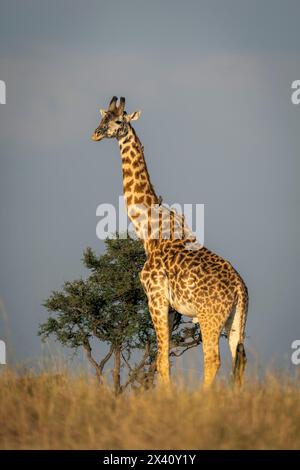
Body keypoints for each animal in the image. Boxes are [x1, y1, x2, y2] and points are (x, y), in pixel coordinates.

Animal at [92, 97, 248, 388]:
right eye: (102, 117)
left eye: (118, 120)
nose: (95, 133)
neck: (148, 230)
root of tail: (239, 288)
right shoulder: (174, 308)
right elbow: (160, 358)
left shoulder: (155, 297)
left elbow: (162, 359)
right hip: (237, 318)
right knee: (239, 358)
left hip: (209, 317)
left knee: (213, 359)